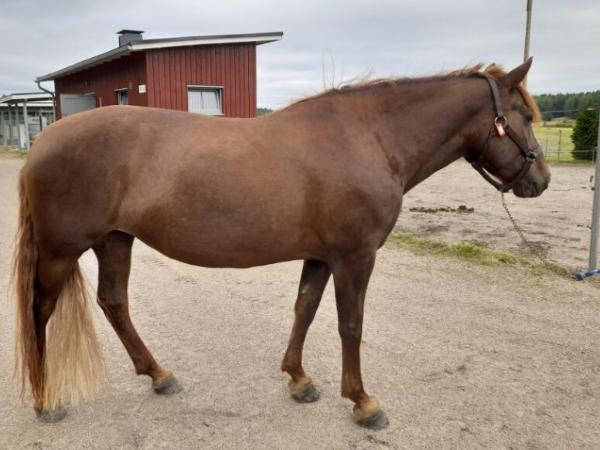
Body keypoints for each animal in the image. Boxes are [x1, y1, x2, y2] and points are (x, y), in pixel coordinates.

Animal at [12, 57, 550, 429]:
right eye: (523, 115)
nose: (540, 180)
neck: (368, 138)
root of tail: (42, 143)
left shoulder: (321, 256)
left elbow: (304, 309)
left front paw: (299, 380)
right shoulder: (355, 257)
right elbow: (350, 325)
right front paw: (363, 402)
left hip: (115, 241)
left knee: (114, 302)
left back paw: (160, 375)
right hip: (61, 250)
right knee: (40, 311)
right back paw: (46, 400)